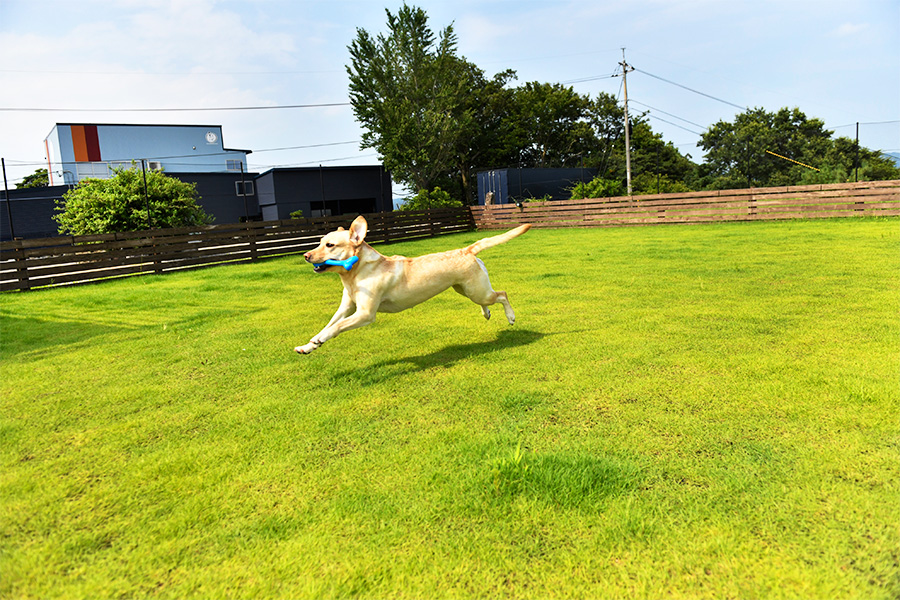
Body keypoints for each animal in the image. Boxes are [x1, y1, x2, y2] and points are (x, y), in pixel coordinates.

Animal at [296, 216, 532, 354]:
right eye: (319, 242)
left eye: (330, 245)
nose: (306, 255)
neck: (356, 273)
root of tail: (466, 249)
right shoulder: (346, 307)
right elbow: (330, 324)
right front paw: (309, 344)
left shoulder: (365, 314)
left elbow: (336, 327)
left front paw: (319, 339)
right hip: (467, 289)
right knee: (488, 299)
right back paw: (486, 313)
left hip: (476, 291)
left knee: (502, 294)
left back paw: (511, 317)